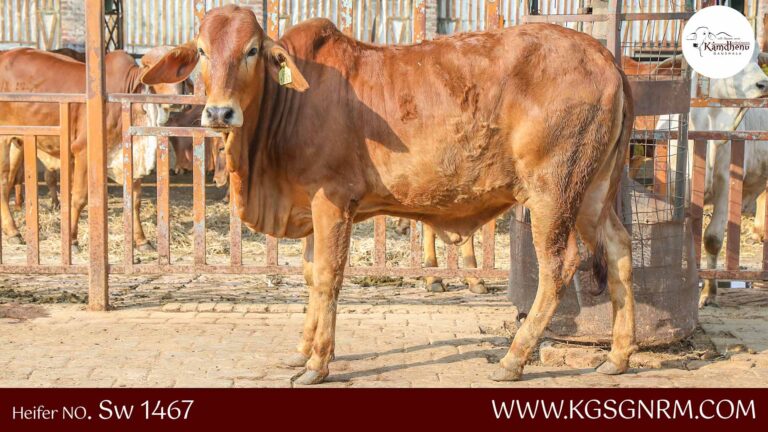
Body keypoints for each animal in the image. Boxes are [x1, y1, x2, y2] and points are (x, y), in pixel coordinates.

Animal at [0, 47, 185, 253]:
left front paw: (142, 241)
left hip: (19, 143)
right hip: (4, 139)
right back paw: (13, 231)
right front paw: (72, 241)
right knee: (3, 182)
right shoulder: (83, 151)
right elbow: (79, 198)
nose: (175, 101)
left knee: (8, 182)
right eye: (158, 71)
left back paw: (11, 231)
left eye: (181, 72)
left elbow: (134, 200)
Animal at [142, 5, 635, 384]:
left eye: (251, 51)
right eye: (202, 51)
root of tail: (604, 56)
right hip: (592, 190)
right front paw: (302, 349)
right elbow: (309, 276)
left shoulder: (332, 203)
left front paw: (318, 363)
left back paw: (514, 358)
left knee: (557, 265)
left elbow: (327, 278)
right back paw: (617, 355)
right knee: (619, 249)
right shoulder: (308, 205)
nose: (219, 113)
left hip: (553, 191)